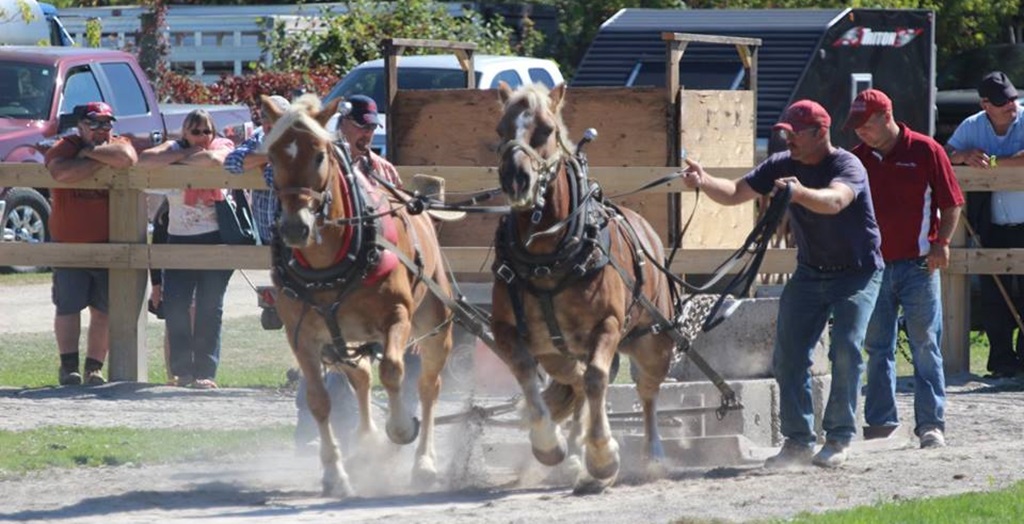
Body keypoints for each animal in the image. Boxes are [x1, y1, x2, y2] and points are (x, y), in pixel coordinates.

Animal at [260, 94, 453, 497]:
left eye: (319, 155)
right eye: (271, 156)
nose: (295, 228)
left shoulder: (396, 317)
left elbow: (393, 370)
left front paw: (400, 428)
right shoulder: (302, 337)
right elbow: (319, 400)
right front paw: (335, 474)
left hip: (436, 325)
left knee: (428, 387)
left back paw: (423, 463)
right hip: (342, 340)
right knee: (360, 378)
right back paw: (366, 446)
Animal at [490, 82, 676, 494]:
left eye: (545, 130)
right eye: (500, 130)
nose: (515, 179)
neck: (546, 255)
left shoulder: (607, 325)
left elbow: (596, 379)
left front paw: (603, 458)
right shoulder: (511, 331)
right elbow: (528, 372)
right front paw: (549, 444)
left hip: (653, 340)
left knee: (647, 390)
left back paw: (653, 456)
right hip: (560, 350)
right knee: (575, 383)